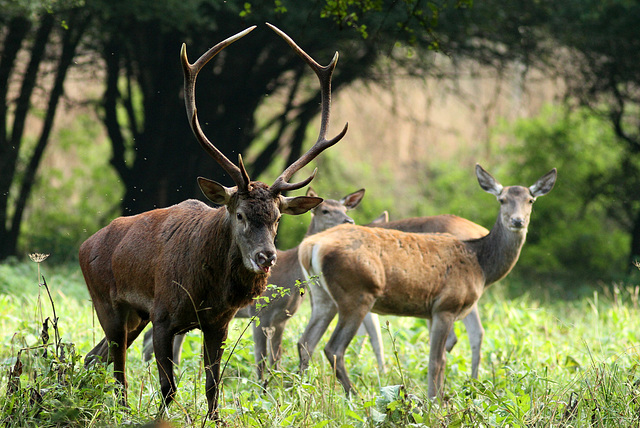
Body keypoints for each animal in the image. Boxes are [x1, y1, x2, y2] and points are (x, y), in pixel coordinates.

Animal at [82, 24, 348, 422]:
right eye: (239, 215)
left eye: (277, 219)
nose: (266, 257)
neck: (205, 287)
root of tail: (86, 245)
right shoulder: (163, 316)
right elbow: (168, 386)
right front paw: (160, 420)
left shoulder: (218, 322)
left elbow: (212, 386)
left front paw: (215, 420)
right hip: (108, 303)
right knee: (117, 369)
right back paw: (121, 410)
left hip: (134, 316)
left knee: (95, 356)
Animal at [298, 166, 552, 400]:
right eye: (502, 199)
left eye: (530, 200)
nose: (518, 221)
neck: (480, 264)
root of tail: (311, 245)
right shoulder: (446, 306)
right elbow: (437, 361)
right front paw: (435, 402)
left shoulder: (431, 312)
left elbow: (437, 358)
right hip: (357, 292)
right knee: (333, 348)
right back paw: (356, 397)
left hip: (322, 296)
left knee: (305, 342)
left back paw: (298, 391)